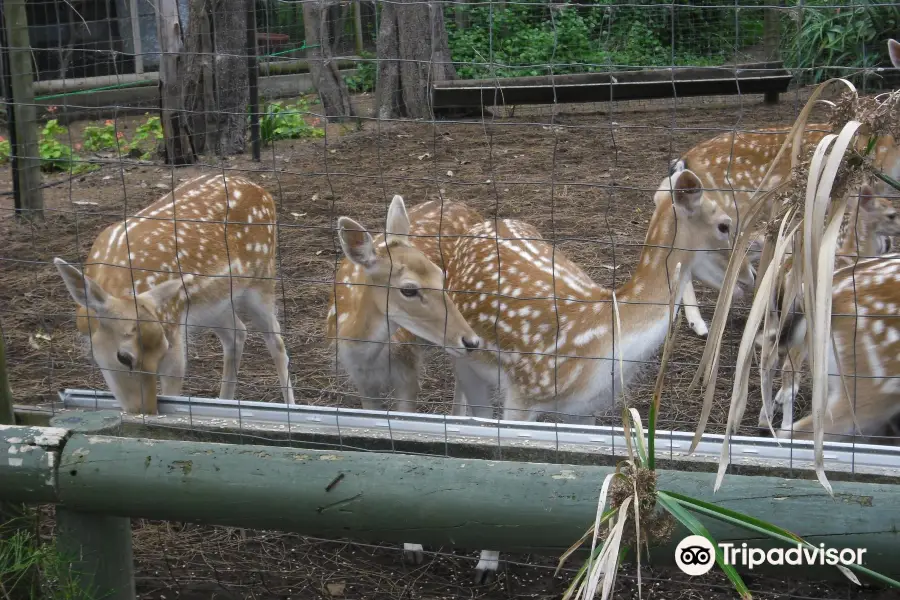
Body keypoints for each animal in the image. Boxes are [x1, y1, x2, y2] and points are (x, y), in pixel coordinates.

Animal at [53, 176, 296, 414]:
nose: (144, 411)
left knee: (276, 341)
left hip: (262, 278)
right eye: (123, 358)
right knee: (237, 333)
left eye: (163, 349)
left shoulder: (173, 332)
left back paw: (290, 407)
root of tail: (263, 191)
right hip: (214, 303)